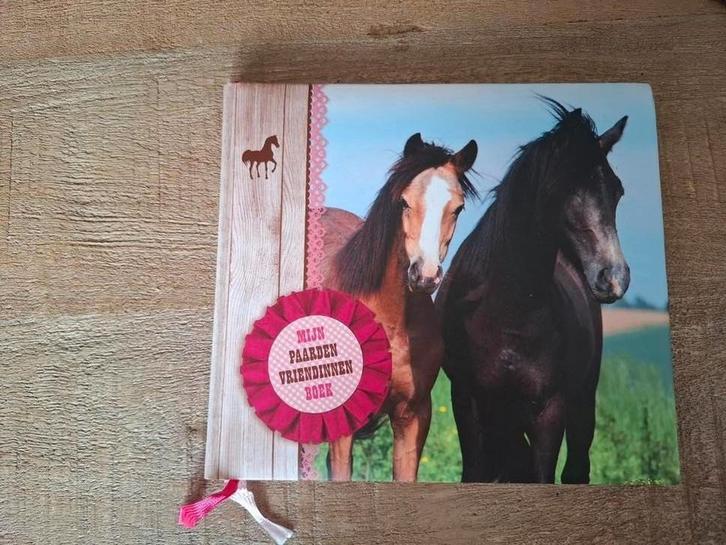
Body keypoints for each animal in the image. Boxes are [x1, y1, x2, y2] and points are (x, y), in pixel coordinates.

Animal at [436, 99, 630, 484]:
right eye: (562, 189)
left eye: (617, 190)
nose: (613, 277)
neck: (508, 310)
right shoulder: (468, 402)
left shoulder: (549, 410)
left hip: (582, 402)